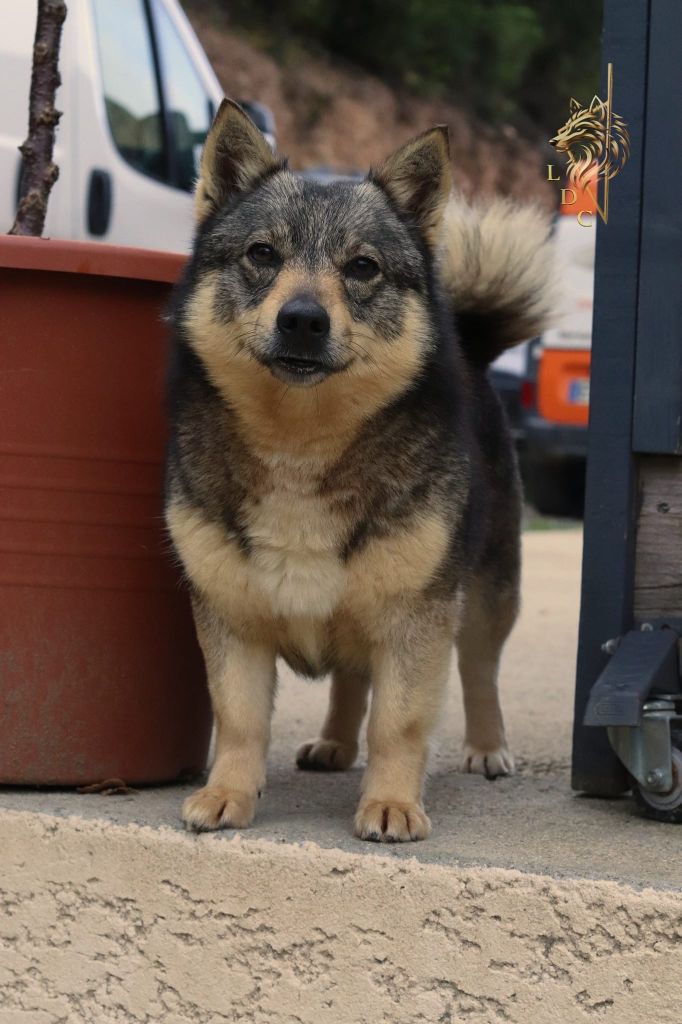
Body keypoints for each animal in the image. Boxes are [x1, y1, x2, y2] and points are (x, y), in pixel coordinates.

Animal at [164, 99, 552, 843]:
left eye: (363, 267)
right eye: (262, 254)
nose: (303, 320)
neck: (300, 443)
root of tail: (475, 348)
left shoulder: (416, 616)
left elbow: (399, 722)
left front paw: (393, 803)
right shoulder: (230, 615)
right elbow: (239, 717)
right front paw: (228, 793)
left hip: (491, 589)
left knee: (480, 668)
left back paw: (487, 746)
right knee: (351, 678)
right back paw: (335, 743)